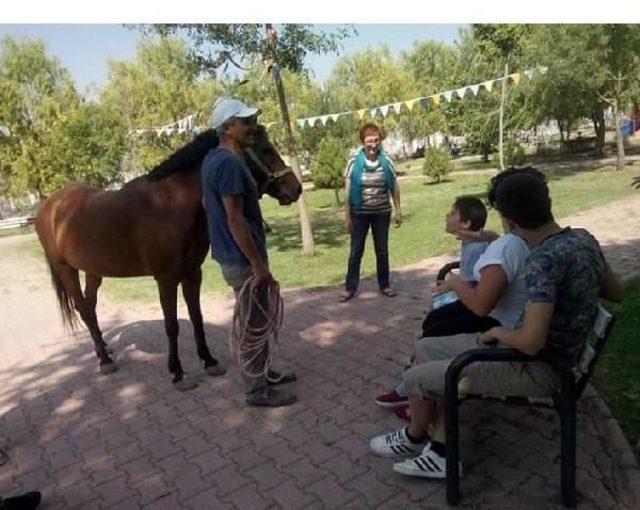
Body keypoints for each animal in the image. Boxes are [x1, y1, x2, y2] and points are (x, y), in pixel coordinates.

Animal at [35, 125, 302, 388]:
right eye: (266, 150)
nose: (296, 188)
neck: (172, 204)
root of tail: (50, 206)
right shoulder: (166, 279)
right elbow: (171, 325)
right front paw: (178, 372)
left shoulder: (192, 274)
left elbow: (196, 316)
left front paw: (209, 360)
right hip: (66, 269)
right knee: (83, 308)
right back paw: (104, 359)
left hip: (94, 269)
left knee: (90, 308)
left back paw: (106, 350)